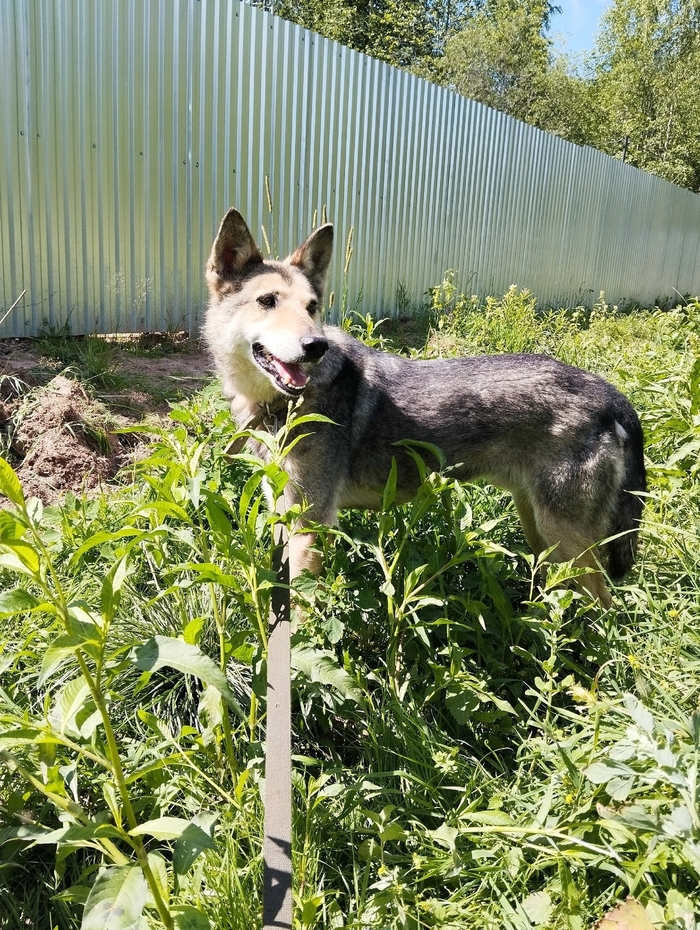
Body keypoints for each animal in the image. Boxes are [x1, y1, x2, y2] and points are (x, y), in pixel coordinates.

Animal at [204, 208, 646, 607]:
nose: (316, 346)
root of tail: (611, 395)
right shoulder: (283, 512)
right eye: (267, 301)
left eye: (312, 306)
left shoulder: (309, 525)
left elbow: (298, 612)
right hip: (539, 530)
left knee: (603, 606)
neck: (283, 403)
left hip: (565, 541)